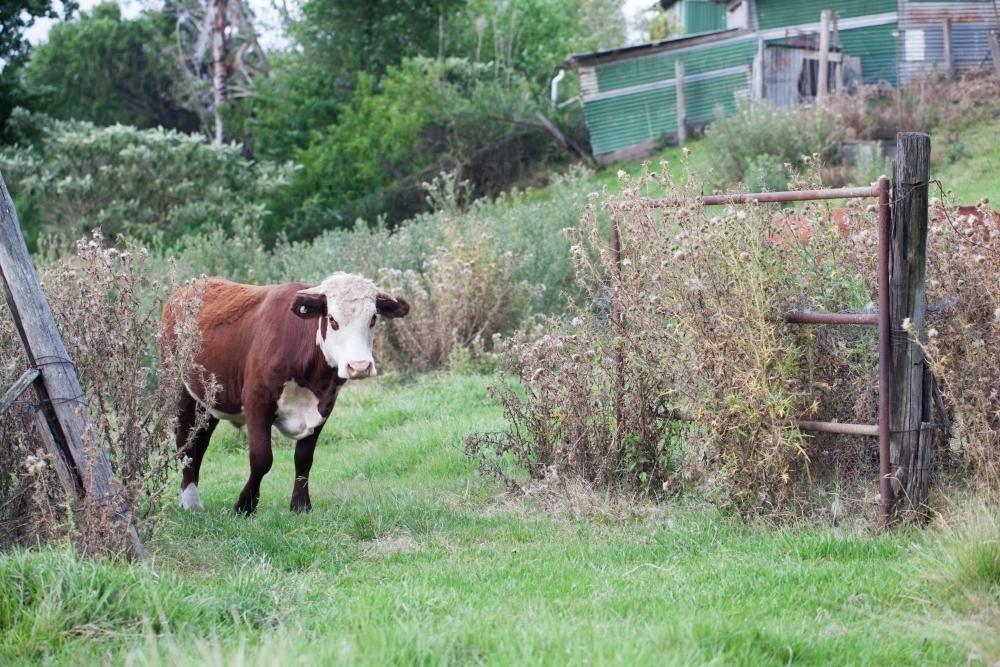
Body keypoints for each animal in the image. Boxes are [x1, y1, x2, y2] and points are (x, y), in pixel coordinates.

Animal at [162, 273, 410, 515]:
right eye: (332, 319)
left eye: (373, 318)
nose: (359, 366)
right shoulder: (256, 400)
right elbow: (262, 459)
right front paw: (244, 506)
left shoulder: (323, 406)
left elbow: (304, 458)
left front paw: (300, 505)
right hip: (178, 387)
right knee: (184, 439)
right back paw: (190, 499)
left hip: (209, 400)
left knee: (200, 440)